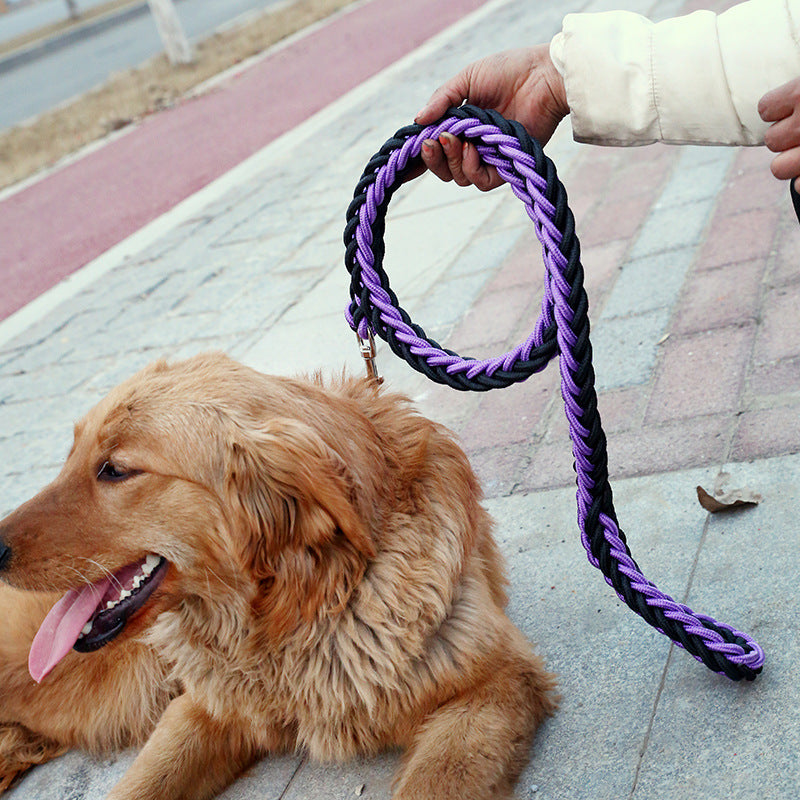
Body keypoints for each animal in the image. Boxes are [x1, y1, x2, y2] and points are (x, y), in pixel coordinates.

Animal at [0, 354, 556, 796]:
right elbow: (139, 787)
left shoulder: (494, 682)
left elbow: (436, 783)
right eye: (70, 457)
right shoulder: (199, 707)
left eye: (115, 470)